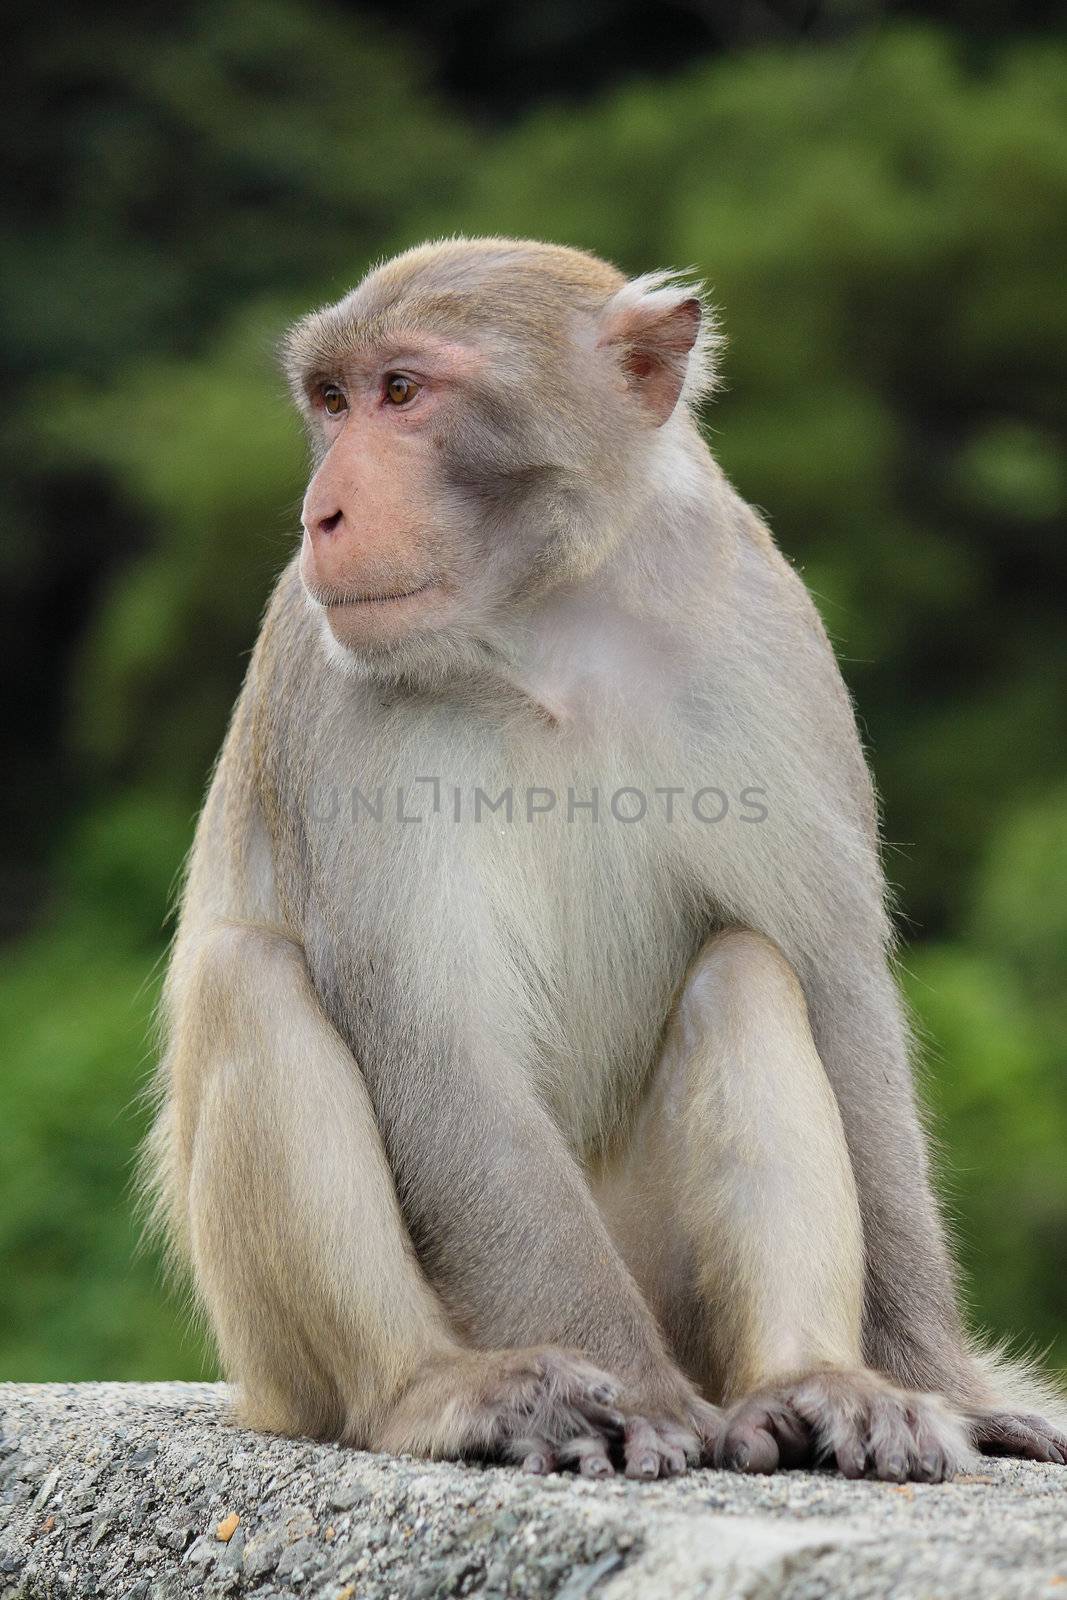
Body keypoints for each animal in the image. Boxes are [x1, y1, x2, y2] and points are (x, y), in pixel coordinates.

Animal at [143, 232, 1067, 1478]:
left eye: (401, 391)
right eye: (331, 402)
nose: (320, 513)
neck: (551, 630)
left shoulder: (765, 636)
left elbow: (832, 985)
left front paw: (935, 1380)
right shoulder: (327, 683)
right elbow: (435, 1043)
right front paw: (633, 1392)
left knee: (745, 970)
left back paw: (804, 1382)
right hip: (291, 1359)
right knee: (248, 978)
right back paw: (443, 1391)